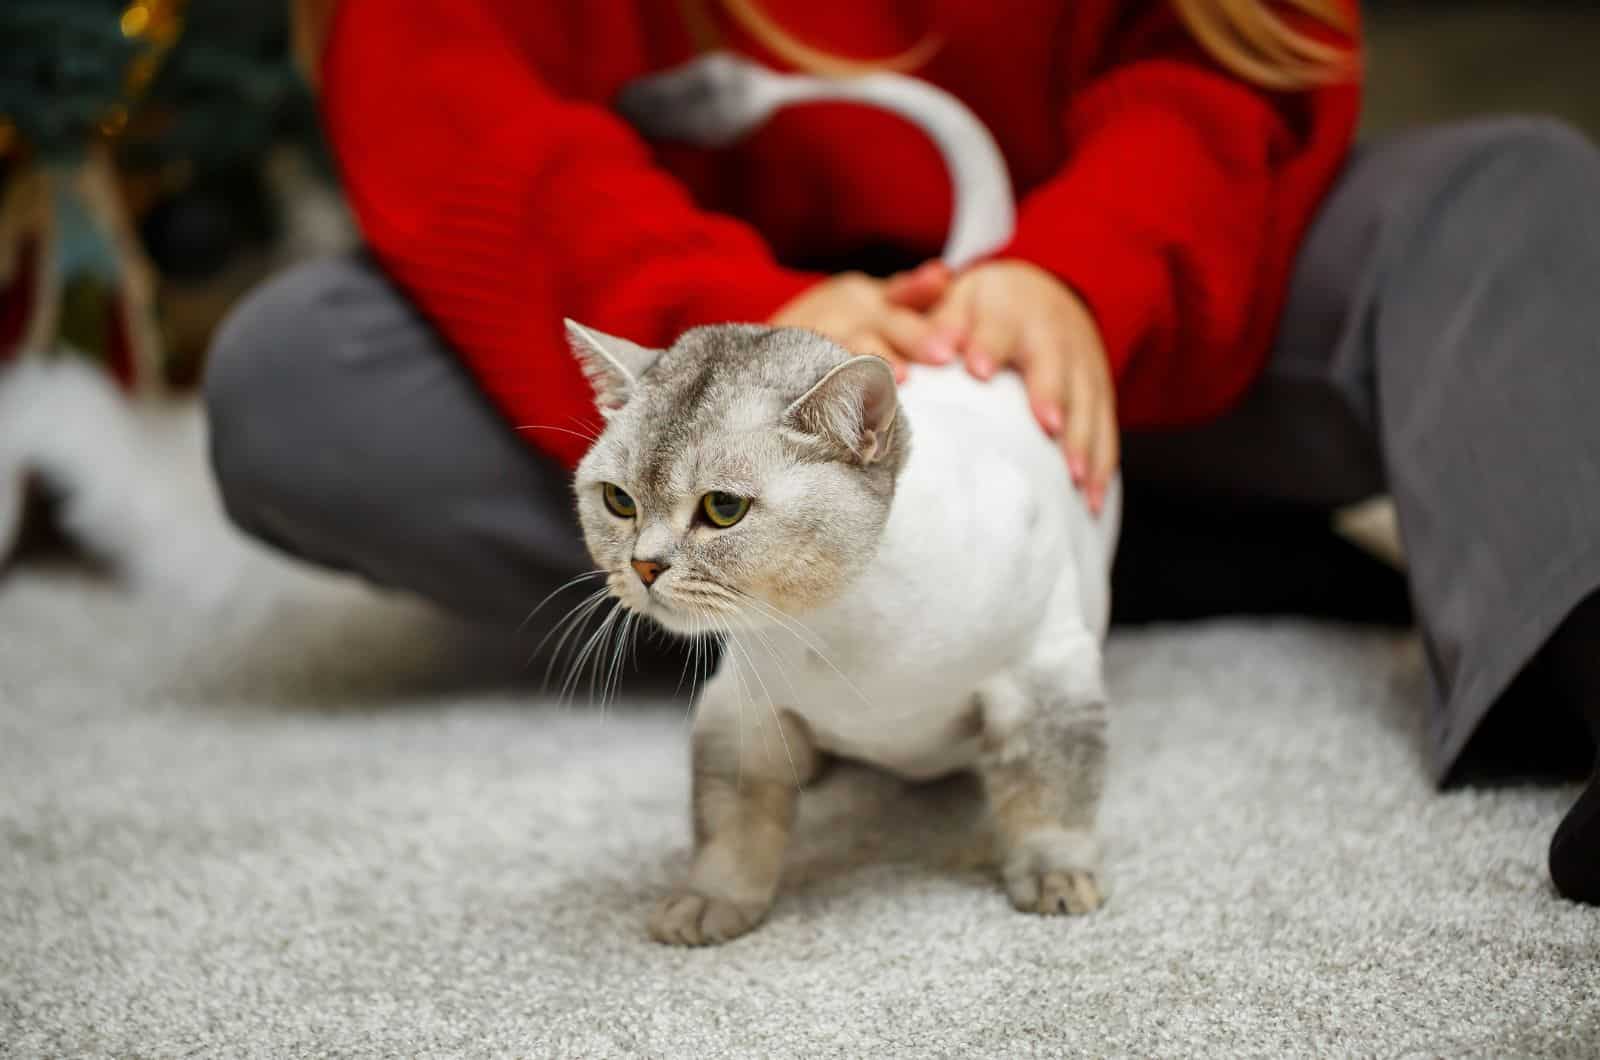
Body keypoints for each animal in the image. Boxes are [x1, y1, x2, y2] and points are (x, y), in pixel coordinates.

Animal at [569, 317, 1120, 947]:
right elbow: (730, 827)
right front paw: (711, 899)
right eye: (619, 501)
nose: (643, 566)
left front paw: (1058, 875)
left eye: (723, 508)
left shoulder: (1046, 673)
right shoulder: (739, 708)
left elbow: (1051, 795)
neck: (839, 626)